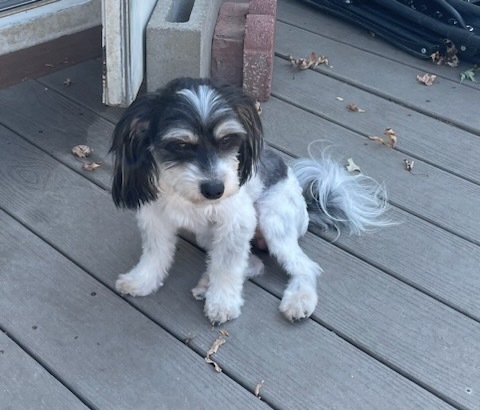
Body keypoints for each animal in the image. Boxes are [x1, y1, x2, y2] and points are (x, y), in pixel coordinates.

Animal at [109, 77, 390, 324]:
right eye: (181, 145)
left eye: (227, 140)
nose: (215, 190)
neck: (186, 196)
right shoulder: (155, 218)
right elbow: (155, 254)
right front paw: (142, 281)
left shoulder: (236, 221)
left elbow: (227, 265)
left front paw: (223, 303)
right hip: (209, 235)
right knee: (252, 262)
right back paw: (207, 283)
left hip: (272, 219)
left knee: (305, 267)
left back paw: (298, 299)